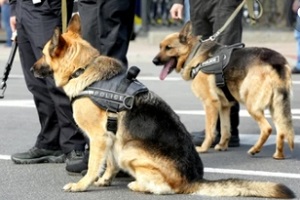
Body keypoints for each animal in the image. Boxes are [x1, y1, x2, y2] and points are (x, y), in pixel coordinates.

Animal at [154, 21, 294, 159]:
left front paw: (204, 148)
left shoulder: (210, 103)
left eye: (168, 48)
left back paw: (255, 149)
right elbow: (225, 129)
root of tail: (276, 61)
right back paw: (278, 155)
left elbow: (210, 130)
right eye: (160, 47)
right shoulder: (224, 106)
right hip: (275, 107)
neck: (195, 52)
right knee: (282, 130)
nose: (154, 61)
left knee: (267, 129)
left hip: (252, 105)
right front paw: (222, 146)